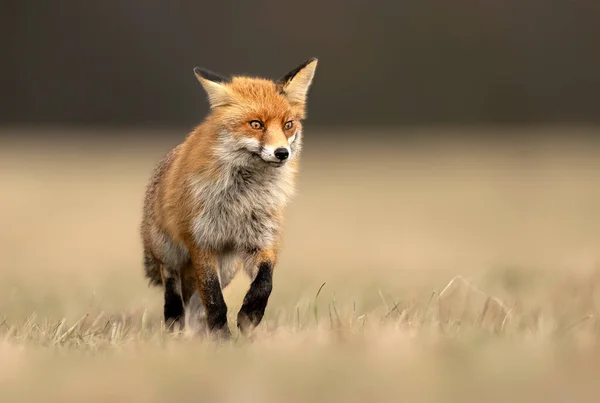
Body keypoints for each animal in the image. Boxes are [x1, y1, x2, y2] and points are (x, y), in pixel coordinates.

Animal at [141, 58, 318, 340]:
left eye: (288, 124)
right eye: (256, 124)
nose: (282, 153)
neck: (243, 197)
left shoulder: (262, 239)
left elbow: (264, 283)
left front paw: (249, 315)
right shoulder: (201, 241)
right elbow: (214, 298)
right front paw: (221, 338)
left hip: (227, 267)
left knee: (194, 301)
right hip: (170, 253)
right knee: (173, 288)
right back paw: (175, 327)